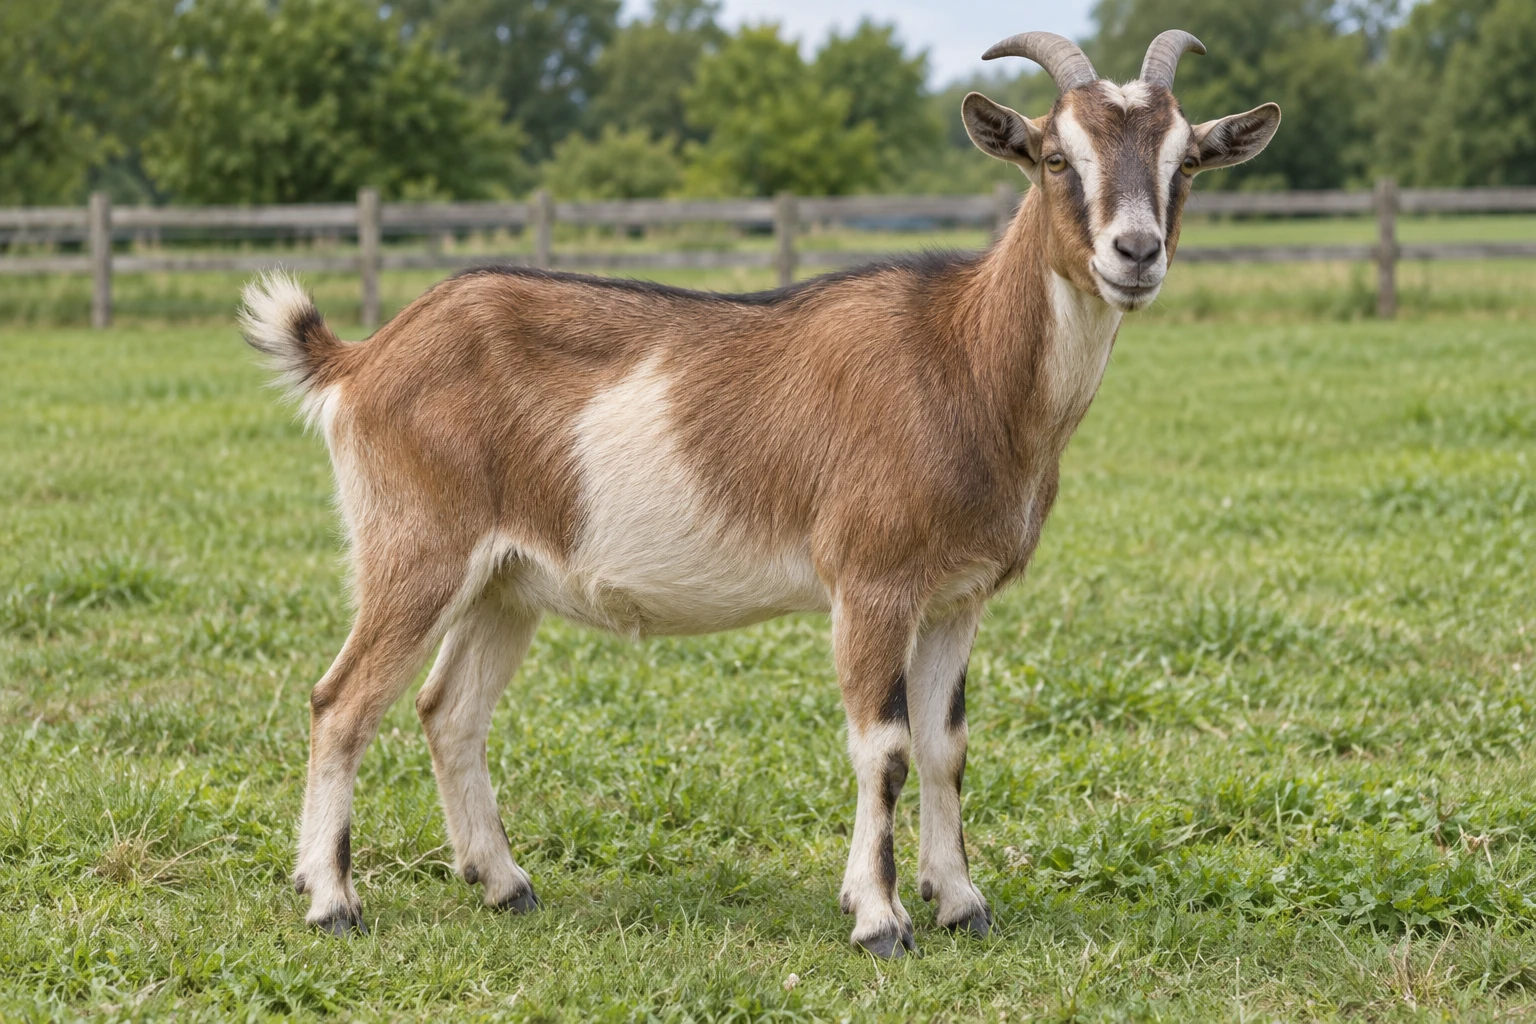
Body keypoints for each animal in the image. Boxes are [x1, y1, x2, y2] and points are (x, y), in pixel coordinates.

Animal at [240, 29, 1279, 958]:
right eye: (1057, 156)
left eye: (1187, 162)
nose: (1135, 253)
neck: (964, 360)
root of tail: (363, 357)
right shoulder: (873, 580)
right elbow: (884, 747)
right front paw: (880, 920)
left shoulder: (958, 596)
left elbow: (946, 747)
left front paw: (961, 903)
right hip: (417, 547)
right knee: (342, 701)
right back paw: (332, 902)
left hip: (504, 580)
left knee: (449, 711)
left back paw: (504, 884)